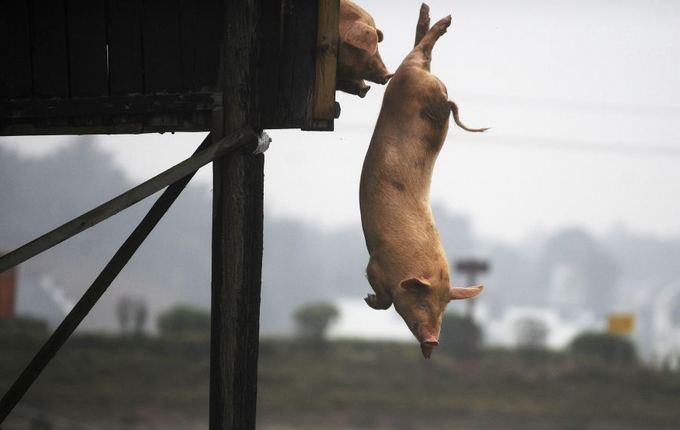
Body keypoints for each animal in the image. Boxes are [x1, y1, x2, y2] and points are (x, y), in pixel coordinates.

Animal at [358, 4, 486, 360]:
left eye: (445, 307)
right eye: (423, 301)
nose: (433, 342)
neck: (408, 265)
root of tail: (440, 92)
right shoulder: (374, 264)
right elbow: (383, 298)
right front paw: (367, 299)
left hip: (413, 77)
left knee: (421, 51)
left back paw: (435, 18)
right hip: (409, 77)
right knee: (419, 52)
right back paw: (440, 20)